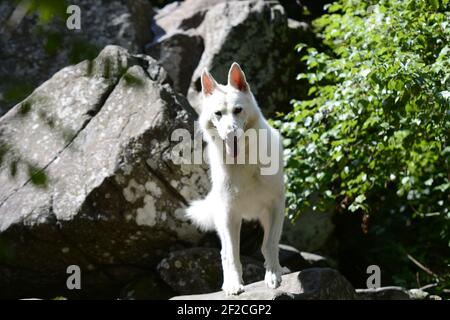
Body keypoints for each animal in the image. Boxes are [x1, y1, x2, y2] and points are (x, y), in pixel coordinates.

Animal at [186, 62, 284, 296]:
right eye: (218, 114)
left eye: (238, 110)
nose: (231, 133)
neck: (244, 162)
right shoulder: (229, 214)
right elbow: (232, 254)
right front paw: (233, 283)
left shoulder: (276, 206)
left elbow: (270, 244)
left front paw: (273, 275)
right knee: (224, 253)